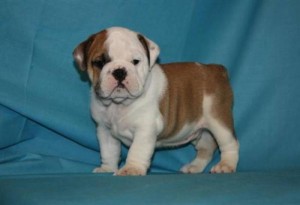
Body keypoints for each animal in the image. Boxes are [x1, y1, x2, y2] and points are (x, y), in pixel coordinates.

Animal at [72, 26, 239, 175]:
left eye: (135, 61)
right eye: (99, 62)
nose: (119, 71)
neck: (118, 104)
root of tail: (216, 69)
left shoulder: (145, 129)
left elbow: (137, 150)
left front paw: (131, 169)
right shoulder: (104, 130)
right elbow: (109, 151)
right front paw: (107, 168)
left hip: (218, 120)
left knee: (230, 143)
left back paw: (225, 165)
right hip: (199, 129)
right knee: (206, 148)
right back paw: (194, 167)